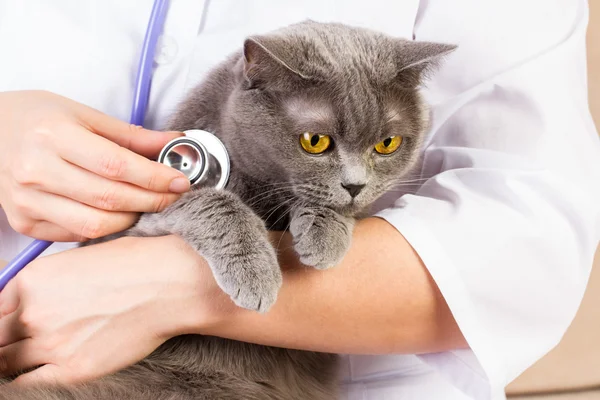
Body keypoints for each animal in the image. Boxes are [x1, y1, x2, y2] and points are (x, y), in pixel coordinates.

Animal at [0, 21, 454, 400]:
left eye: (387, 144)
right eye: (315, 141)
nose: (355, 185)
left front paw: (324, 235)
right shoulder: (133, 226)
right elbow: (210, 200)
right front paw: (256, 274)